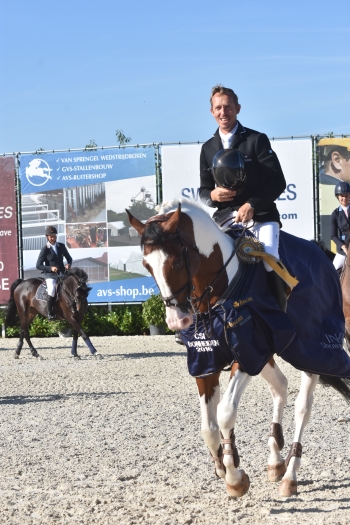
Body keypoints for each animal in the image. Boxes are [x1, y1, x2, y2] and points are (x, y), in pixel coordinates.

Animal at [127, 200, 350, 496]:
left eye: (176, 261)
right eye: (146, 265)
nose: (177, 321)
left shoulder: (247, 354)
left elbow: (224, 413)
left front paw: (235, 477)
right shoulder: (207, 360)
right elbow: (208, 427)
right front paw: (223, 466)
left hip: (312, 348)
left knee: (303, 406)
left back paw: (290, 474)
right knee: (280, 386)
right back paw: (275, 460)